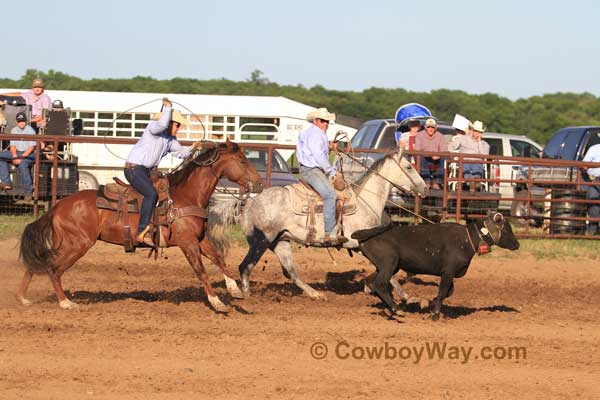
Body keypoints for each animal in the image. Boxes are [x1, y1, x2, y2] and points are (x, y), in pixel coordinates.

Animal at [17, 141, 262, 312]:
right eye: (243, 161)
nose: (259, 184)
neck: (185, 196)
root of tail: (57, 206)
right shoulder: (187, 243)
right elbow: (201, 271)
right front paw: (217, 302)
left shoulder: (199, 239)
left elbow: (219, 258)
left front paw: (235, 289)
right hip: (77, 244)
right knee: (53, 269)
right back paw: (65, 303)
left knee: (39, 263)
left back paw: (23, 297)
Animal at [214, 148, 426, 298]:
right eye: (409, 167)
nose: (424, 187)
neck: (364, 201)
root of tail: (249, 202)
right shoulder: (360, 243)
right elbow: (386, 271)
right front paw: (405, 296)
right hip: (260, 242)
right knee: (245, 266)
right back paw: (247, 295)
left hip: (280, 241)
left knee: (291, 272)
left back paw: (315, 294)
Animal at [354, 211, 516, 320]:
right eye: (507, 229)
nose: (517, 244)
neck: (467, 239)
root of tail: (367, 235)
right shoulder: (448, 272)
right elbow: (444, 291)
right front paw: (435, 313)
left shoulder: (449, 273)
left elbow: (449, 292)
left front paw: (429, 304)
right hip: (388, 264)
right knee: (380, 284)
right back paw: (396, 308)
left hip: (385, 266)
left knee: (371, 282)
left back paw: (391, 307)